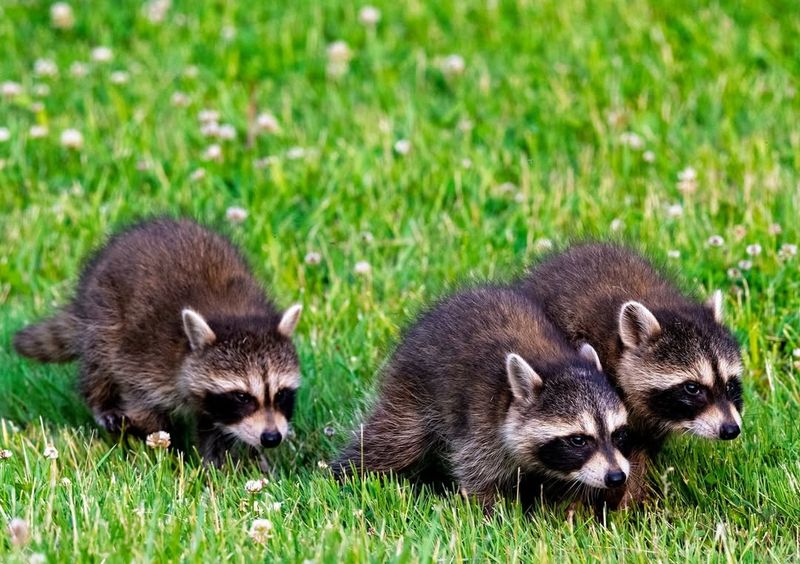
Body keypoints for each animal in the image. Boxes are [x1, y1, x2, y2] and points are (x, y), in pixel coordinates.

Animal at [14, 218, 302, 467]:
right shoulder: (146, 358)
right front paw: (168, 452)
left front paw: (217, 464)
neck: (234, 316)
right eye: (242, 396)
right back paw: (101, 401)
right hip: (104, 312)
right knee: (99, 360)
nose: (271, 438)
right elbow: (141, 402)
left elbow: (213, 429)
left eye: (281, 394)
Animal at [333, 286, 632, 512]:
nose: (616, 477)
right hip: (414, 387)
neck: (554, 363)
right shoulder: (481, 419)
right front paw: (492, 513)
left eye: (618, 434)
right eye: (579, 440)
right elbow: (478, 473)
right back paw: (345, 472)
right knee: (393, 439)